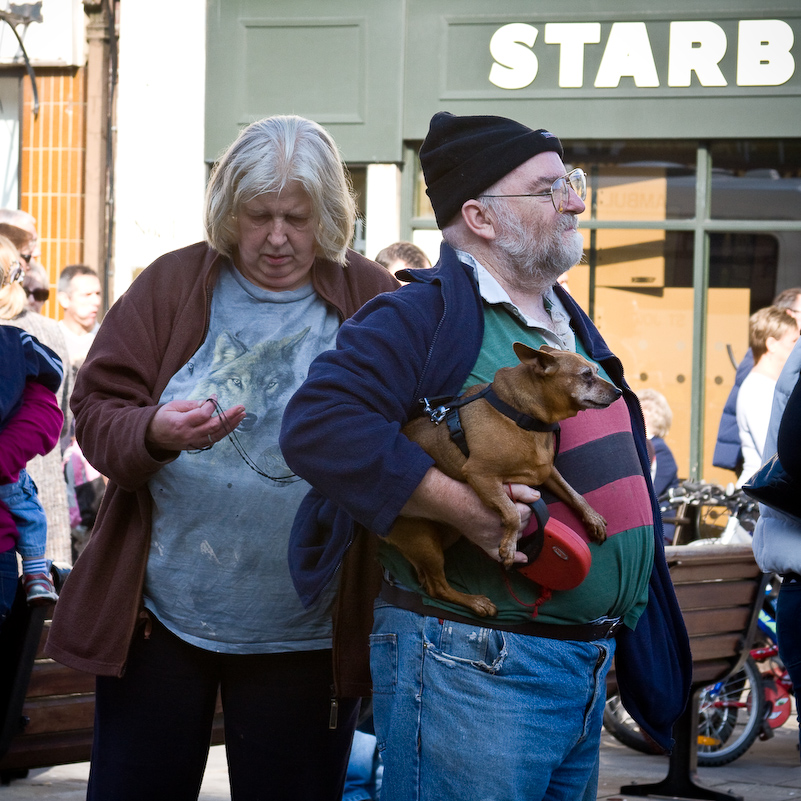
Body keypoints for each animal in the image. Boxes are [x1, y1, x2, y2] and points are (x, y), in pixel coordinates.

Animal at [384, 340, 620, 616]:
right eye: (586, 375)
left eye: (597, 371)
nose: (618, 391)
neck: (521, 416)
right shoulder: (481, 475)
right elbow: (512, 512)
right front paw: (509, 546)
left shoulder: (547, 471)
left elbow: (574, 494)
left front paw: (592, 518)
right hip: (424, 541)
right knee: (437, 587)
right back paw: (476, 602)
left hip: (444, 535)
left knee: (426, 580)